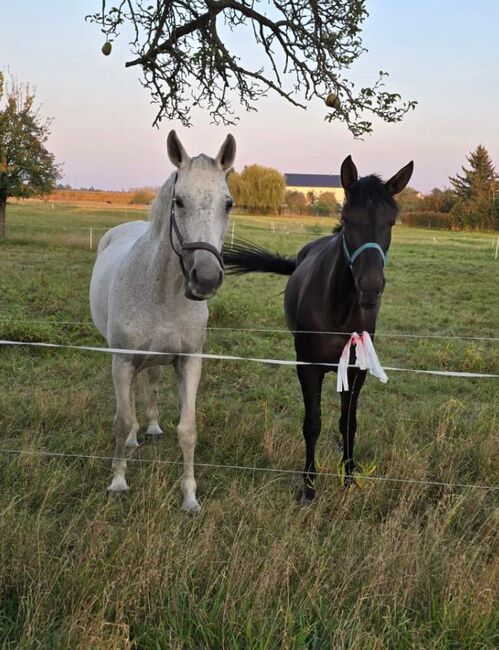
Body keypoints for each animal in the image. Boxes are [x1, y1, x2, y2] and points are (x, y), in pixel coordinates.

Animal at [89, 129, 236, 508]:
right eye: (179, 201)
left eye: (228, 203)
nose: (206, 279)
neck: (162, 292)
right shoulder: (123, 361)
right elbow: (121, 420)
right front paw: (118, 481)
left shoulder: (189, 361)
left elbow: (188, 429)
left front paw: (190, 496)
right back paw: (135, 436)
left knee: (151, 381)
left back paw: (153, 426)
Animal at [225, 156, 416, 496]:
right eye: (347, 218)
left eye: (391, 222)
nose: (370, 288)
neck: (338, 313)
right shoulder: (308, 367)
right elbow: (312, 423)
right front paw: (309, 485)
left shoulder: (356, 371)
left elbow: (348, 423)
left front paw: (349, 477)